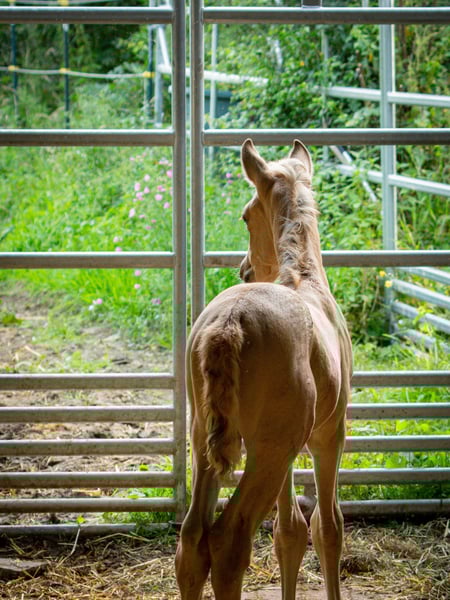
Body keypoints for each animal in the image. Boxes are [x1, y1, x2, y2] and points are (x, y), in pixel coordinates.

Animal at [176, 139, 352, 600]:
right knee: (228, 539)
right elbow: (327, 527)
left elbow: (288, 531)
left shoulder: (292, 449)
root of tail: (230, 323)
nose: (245, 268)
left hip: (207, 443)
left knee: (192, 541)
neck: (304, 279)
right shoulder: (328, 436)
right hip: (267, 453)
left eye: (244, 215)